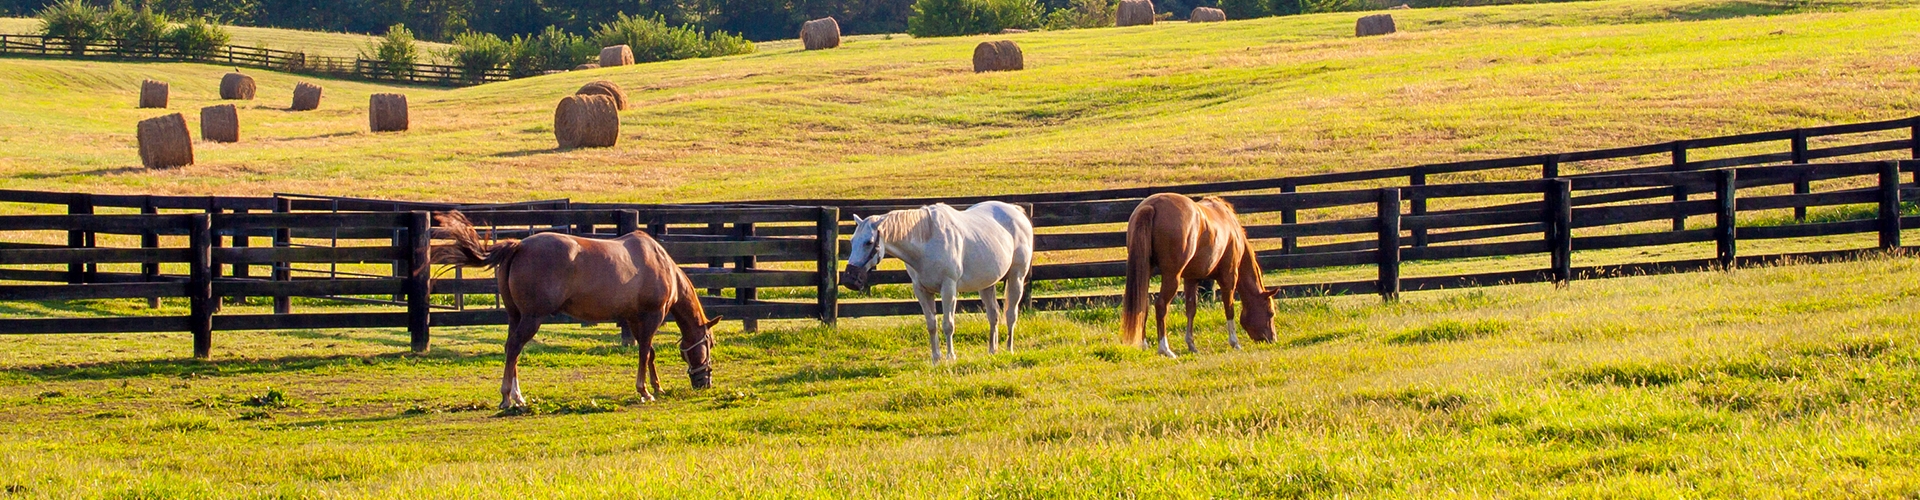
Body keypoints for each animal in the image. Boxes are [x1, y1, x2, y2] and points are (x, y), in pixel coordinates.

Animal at [429, 211, 719, 409]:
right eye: (710, 343)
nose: (705, 383)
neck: (661, 264)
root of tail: (519, 246)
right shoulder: (651, 317)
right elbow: (645, 352)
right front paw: (645, 390)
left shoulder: (634, 319)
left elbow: (649, 354)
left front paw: (656, 388)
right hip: (532, 318)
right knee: (513, 348)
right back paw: (506, 397)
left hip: (516, 316)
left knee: (511, 349)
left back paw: (518, 396)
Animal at [841, 202, 1034, 363]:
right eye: (852, 241)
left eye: (869, 242)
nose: (851, 279)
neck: (927, 241)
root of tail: (1016, 211)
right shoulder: (921, 291)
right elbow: (931, 325)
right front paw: (936, 358)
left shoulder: (948, 288)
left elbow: (948, 325)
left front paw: (950, 357)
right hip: (986, 284)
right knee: (993, 315)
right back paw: (992, 350)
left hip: (1016, 277)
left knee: (1011, 315)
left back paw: (1009, 349)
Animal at [1122, 194, 1279, 357]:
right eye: (1270, 313)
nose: (1272, 339)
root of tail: (1152, 205)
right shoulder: (1229, 277)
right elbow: (1229, 308)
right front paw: (1235, 342)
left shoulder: (1191, 278)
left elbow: (1191, 309)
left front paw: (1191, 345)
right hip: (1172, 277)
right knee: (1161, 306)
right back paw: (1165, 349)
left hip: (1146, 271)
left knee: (1143, 305)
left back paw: (1144, 345)